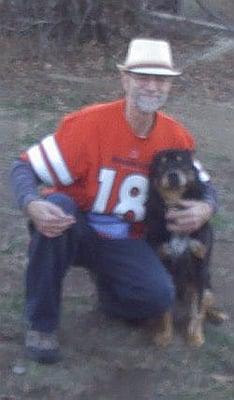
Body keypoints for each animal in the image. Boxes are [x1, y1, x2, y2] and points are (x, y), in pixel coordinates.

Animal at [146, 148, 227, 346]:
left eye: (180, 161)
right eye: (161, 163)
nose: (173, 175)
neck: (176, 206)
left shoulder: (200, 265)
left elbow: (197, 310)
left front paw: (195, 337)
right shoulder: (164, 263)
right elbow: (166, 310)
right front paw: (164, 334)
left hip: (207, 283)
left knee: (205, 303)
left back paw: (216, 315)